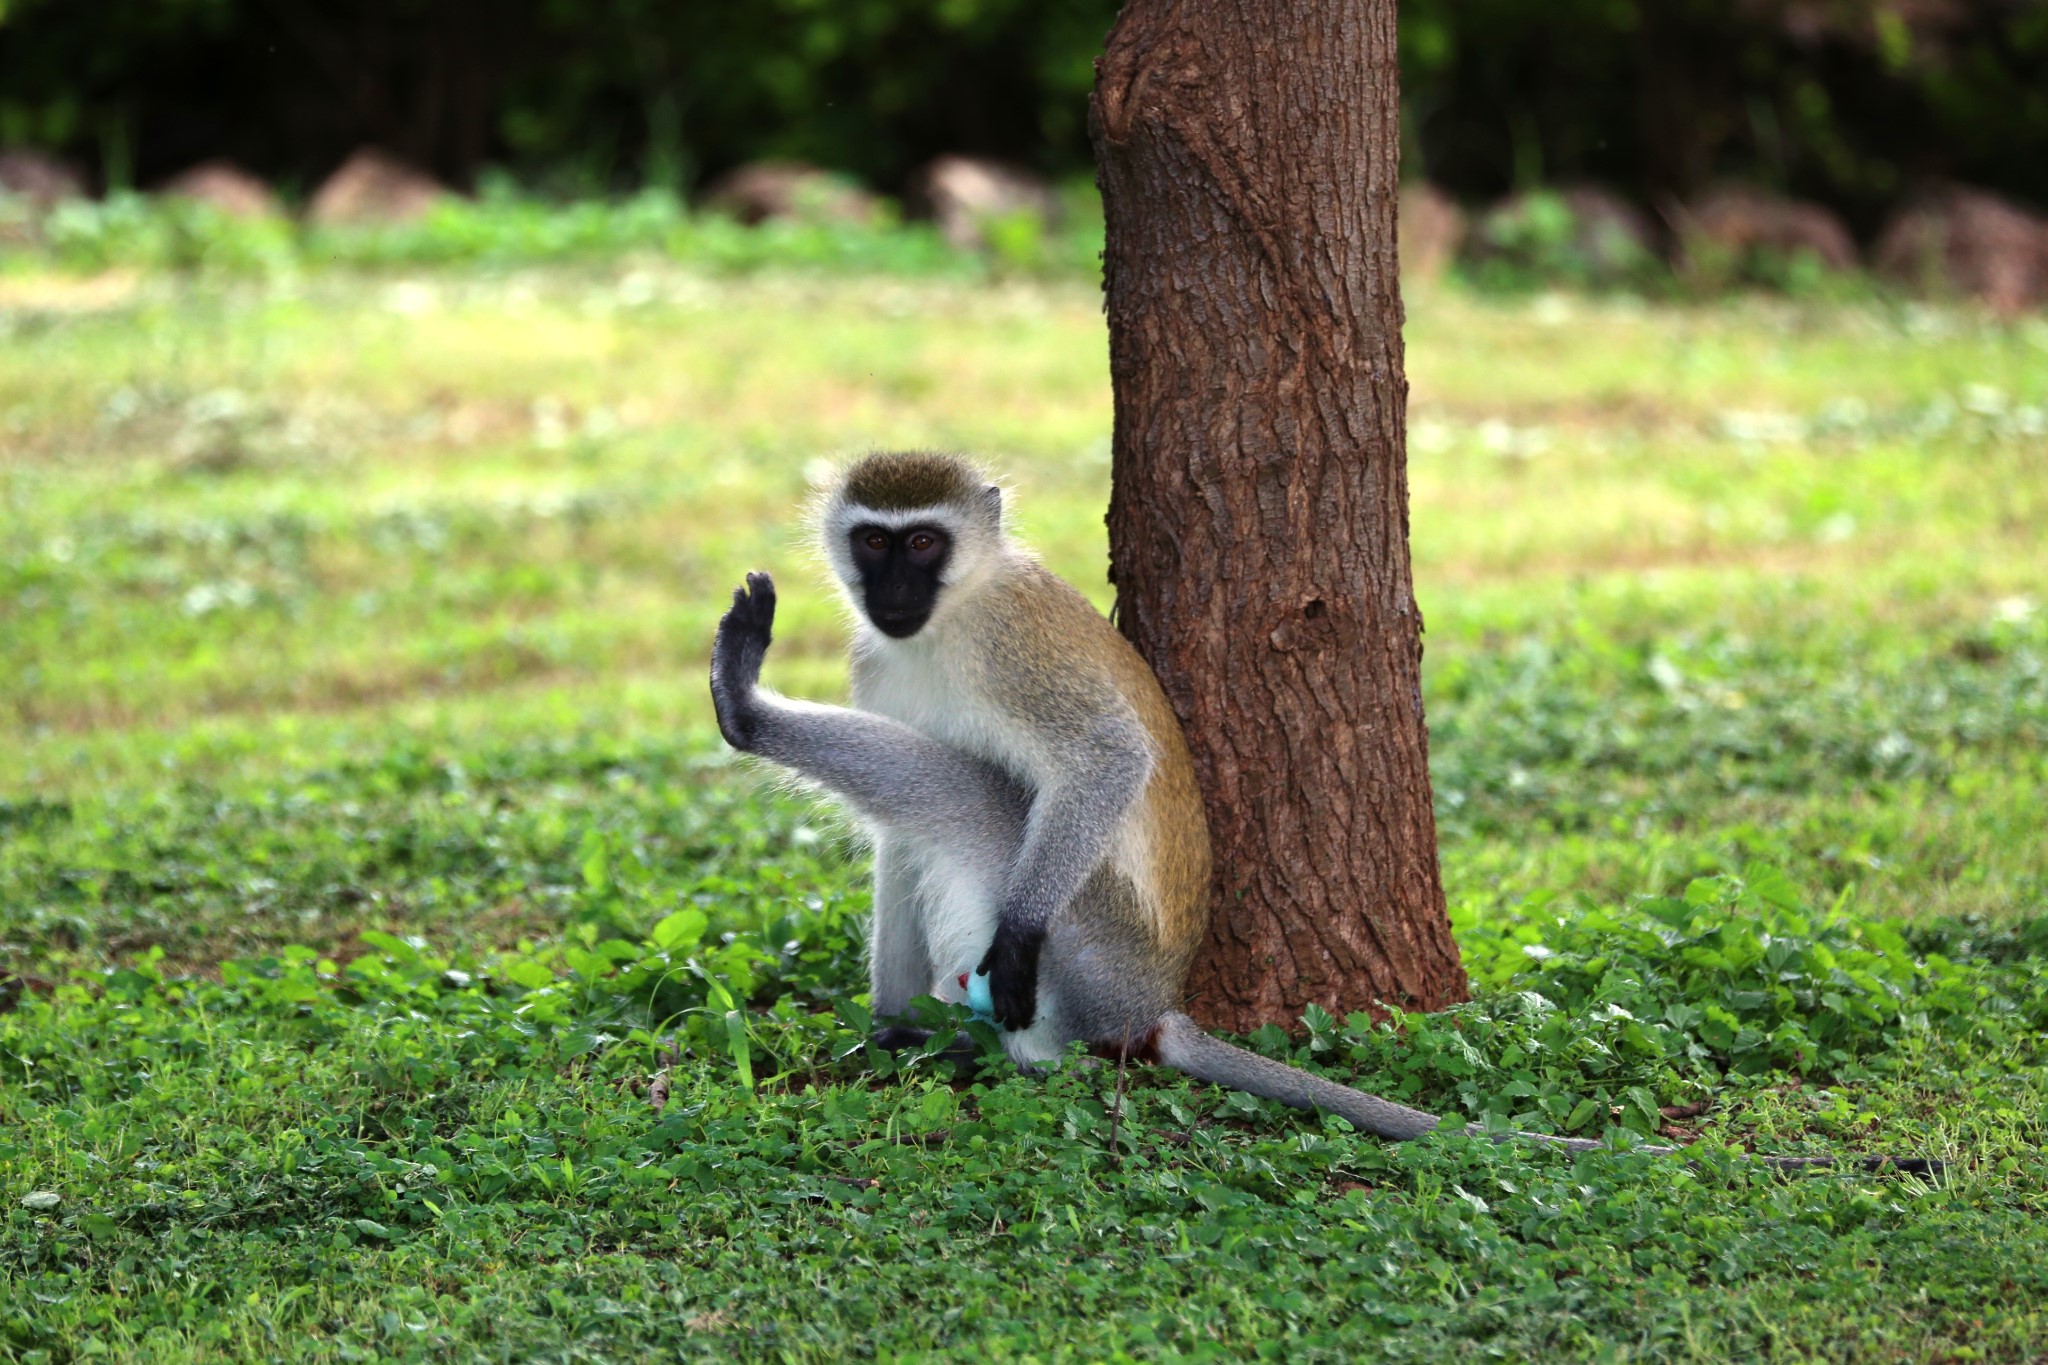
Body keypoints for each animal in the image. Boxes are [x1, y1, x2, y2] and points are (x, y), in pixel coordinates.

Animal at [712, 454, 1941, 1178]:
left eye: (925, 541)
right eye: (875, 541)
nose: (892, 588)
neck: (941, 624)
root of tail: (1152, 1010)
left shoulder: (1014, 645)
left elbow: (1106, 758)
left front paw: (1004, 942)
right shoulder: (877, 659)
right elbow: (887, 844)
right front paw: (884, 1025)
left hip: (1096, 950)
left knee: (968, 800)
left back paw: (746, 709)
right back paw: (907, 1032)